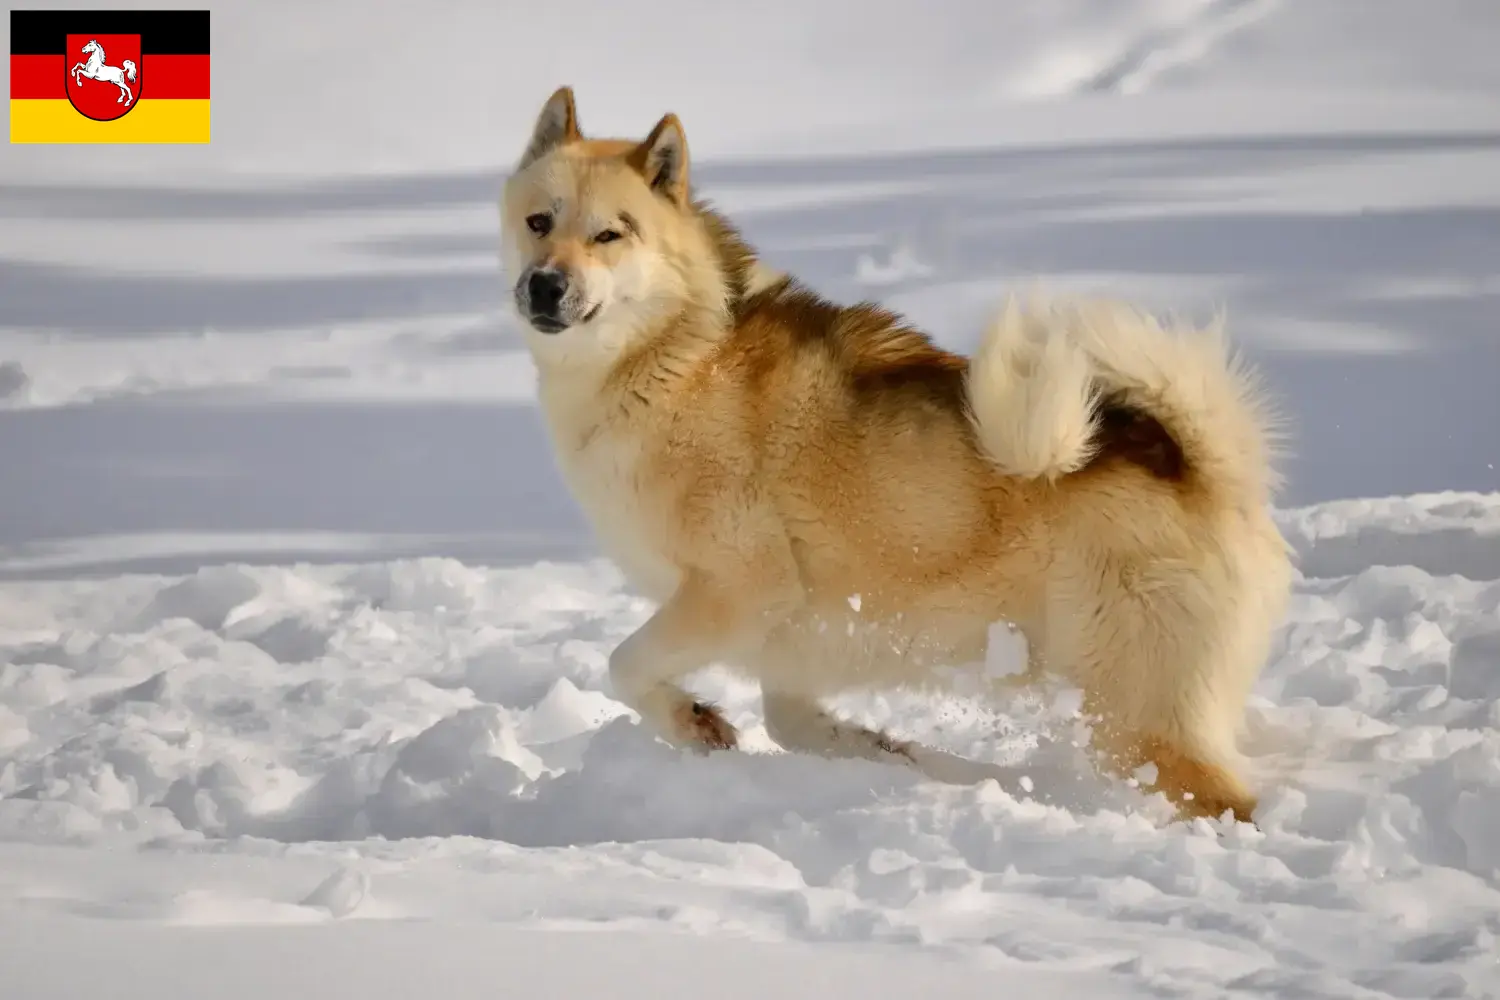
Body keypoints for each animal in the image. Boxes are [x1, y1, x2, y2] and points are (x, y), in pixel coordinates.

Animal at [501, 86, 1290, 827]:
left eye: (610, 234)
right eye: (540, 222)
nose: (545, 285)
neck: (672, 354)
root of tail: (1196, 465)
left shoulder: (742, 589)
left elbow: (624, 664)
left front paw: (690, 721)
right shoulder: (794, 637)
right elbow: (795, 724)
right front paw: (887, 754)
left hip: (1133, 716)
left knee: (1225, 801)